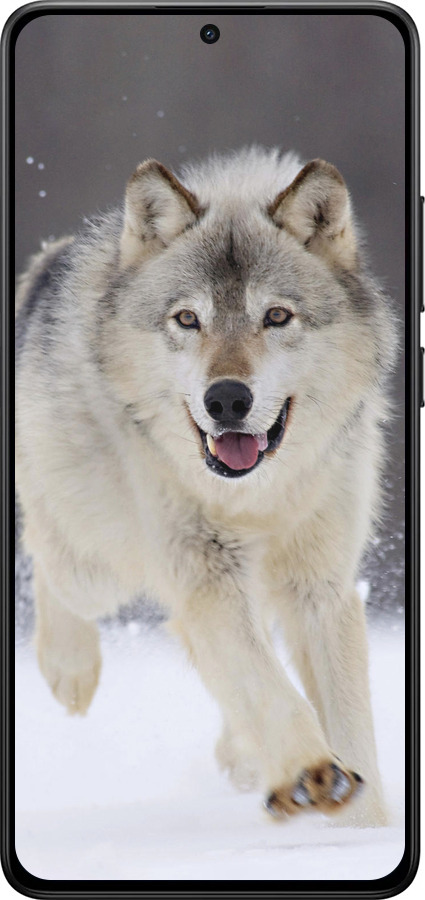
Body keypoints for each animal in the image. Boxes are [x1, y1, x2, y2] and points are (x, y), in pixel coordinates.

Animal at [16, 147, 395, 826]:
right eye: (188, 319)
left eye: (276, 316)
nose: (226, 400)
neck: (257, 497)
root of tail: (49, 260)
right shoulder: (205, 574)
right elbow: (268, 687)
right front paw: (311, 773)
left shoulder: (320, 585)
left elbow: (348, 721)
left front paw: (363, 825)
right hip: (99, 565)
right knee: (47, 555)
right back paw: (70, 671)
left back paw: (242, 757)